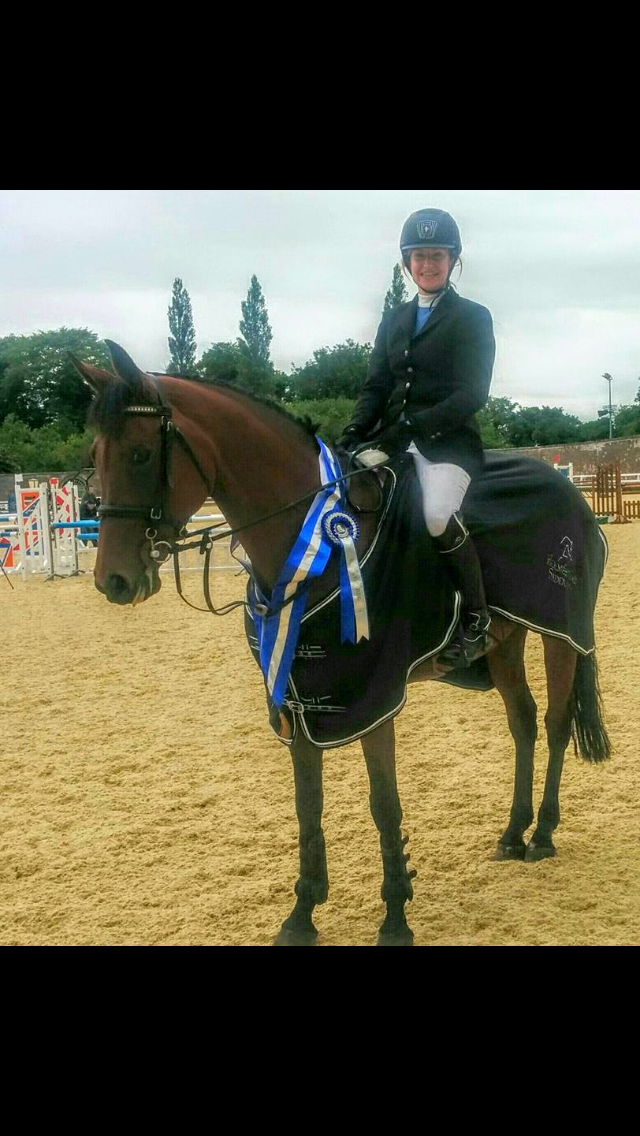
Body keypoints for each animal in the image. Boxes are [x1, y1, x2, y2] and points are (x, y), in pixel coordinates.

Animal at [72, 342, 611, 946]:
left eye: (142, 454)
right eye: (96, 454)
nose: (114, 581)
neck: (312, 547)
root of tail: (569, 487)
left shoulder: (372, 698)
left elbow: (384, 805)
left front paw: (396, 917)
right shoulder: (299, 696)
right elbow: (308, 806)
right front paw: (302, 914)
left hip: (561, 634)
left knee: (557, 722)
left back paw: (541, 834)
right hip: (504, 639)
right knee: (523, 720)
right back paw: (513, 833)